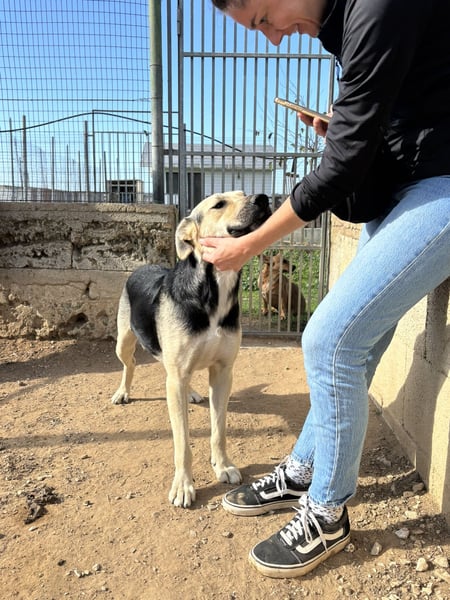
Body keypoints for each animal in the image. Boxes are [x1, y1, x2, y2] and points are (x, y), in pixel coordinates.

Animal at [111, 191, 271, 507]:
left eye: (243, 194)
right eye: (219, 204)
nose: (263, 198)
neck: (214, 291)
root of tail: (144, 265)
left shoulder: (223, 373)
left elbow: (219, 430)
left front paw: (223, 465)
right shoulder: (176, 377)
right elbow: (182, 442)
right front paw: (183, 485)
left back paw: (193, 393)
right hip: (124, 342)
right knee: (130, 364)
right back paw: (124, 391)